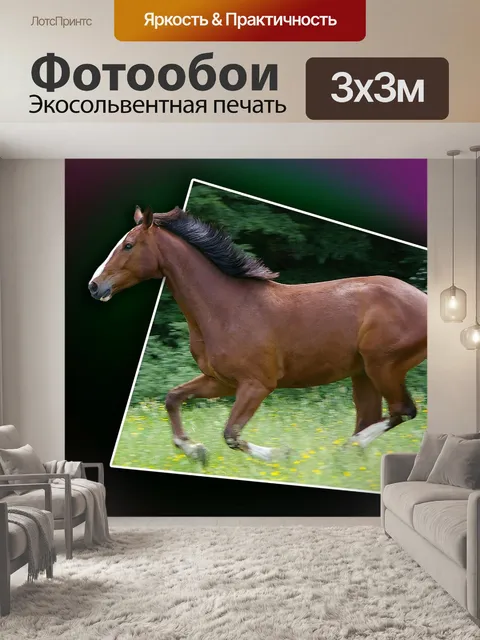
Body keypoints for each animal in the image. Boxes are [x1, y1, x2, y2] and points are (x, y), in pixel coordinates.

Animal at [89, 205, 427, 465]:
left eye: (129, 245)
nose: (94, 286)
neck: (227, 308)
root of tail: (423, 301)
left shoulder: (256, 385)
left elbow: (231, 435)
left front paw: (283, 454)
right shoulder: (221, 382)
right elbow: (173, 398)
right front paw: (195, 450)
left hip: (383, 367)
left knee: (403, 411)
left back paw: (347, 448)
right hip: (363, 374)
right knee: (373, 417)